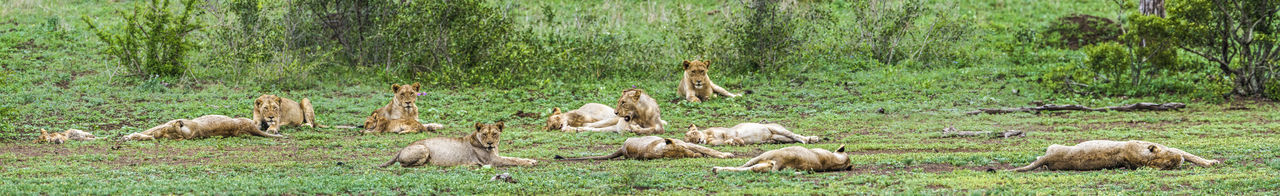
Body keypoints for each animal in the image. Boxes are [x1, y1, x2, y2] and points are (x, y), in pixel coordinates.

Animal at [378, 122, 540, 166]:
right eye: (484, 134)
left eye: (494, 134)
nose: (489, 143)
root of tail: (401, 149)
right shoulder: (492, 160)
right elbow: (512, 160)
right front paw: (530, 163)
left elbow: (514, 157)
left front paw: (531, 160)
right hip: (423, 148)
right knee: (405, 164)